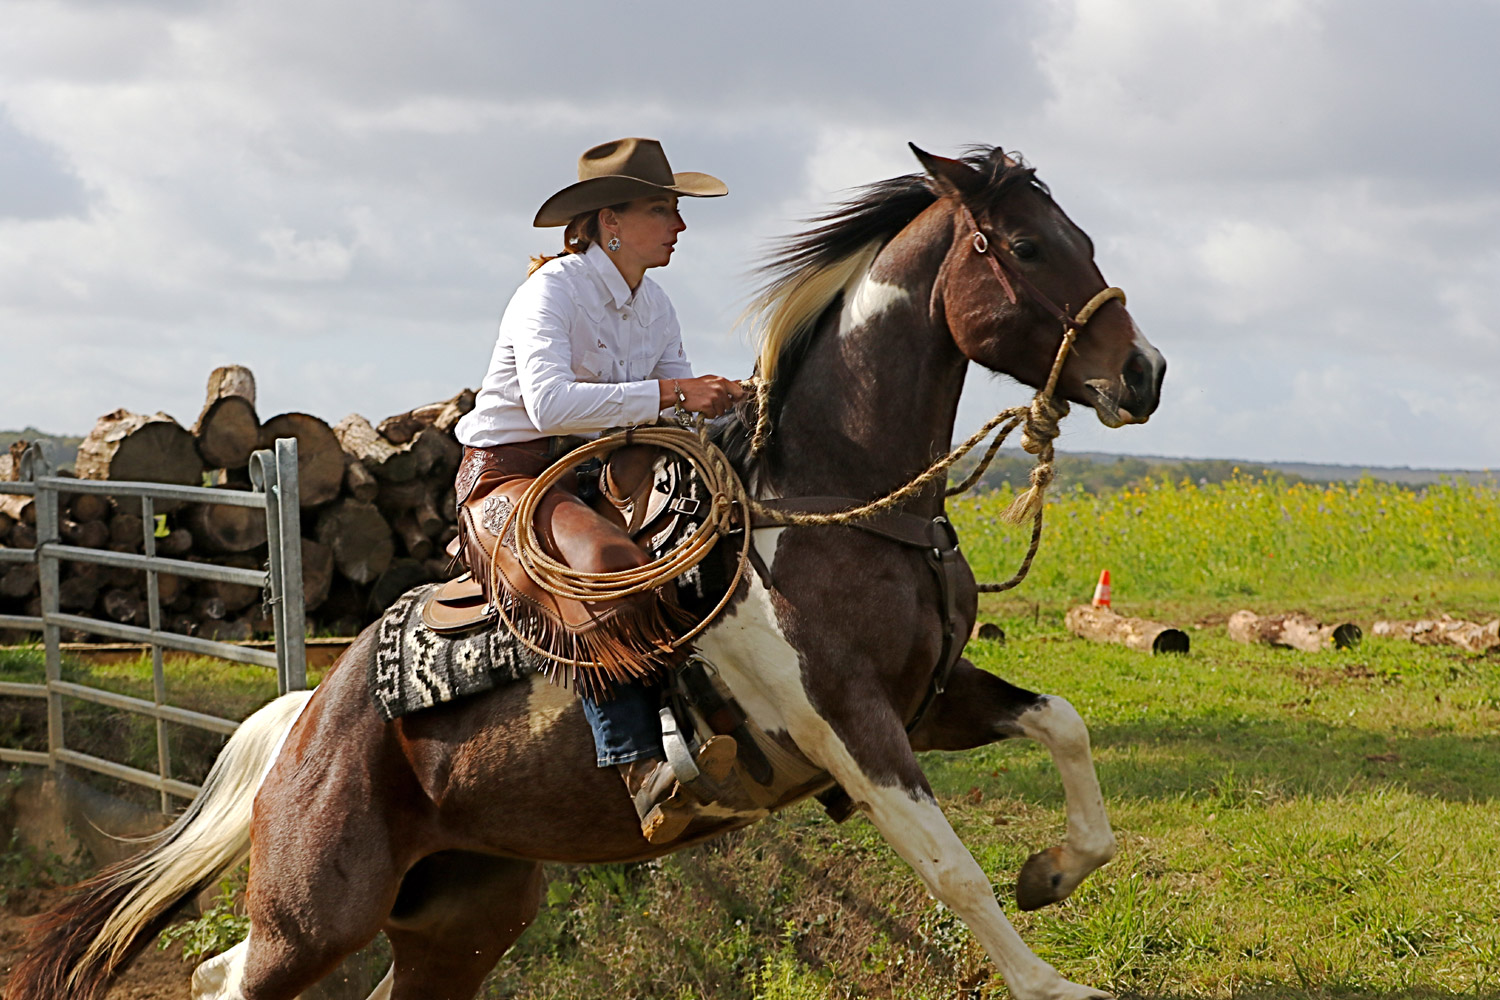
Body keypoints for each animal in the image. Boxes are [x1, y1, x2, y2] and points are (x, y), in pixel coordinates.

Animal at [11, 142, 1164, 1000]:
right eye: (1025, 243)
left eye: (1082, 238)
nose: (1145, 373)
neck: (838, 506)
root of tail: (309, 714)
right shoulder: (850, 721)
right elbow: (950, 868)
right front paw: (1055, 982)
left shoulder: (933, 694)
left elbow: (1064, 723)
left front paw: (1054, 869)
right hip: (314, 912)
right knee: (225, 974)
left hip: (463, 914)